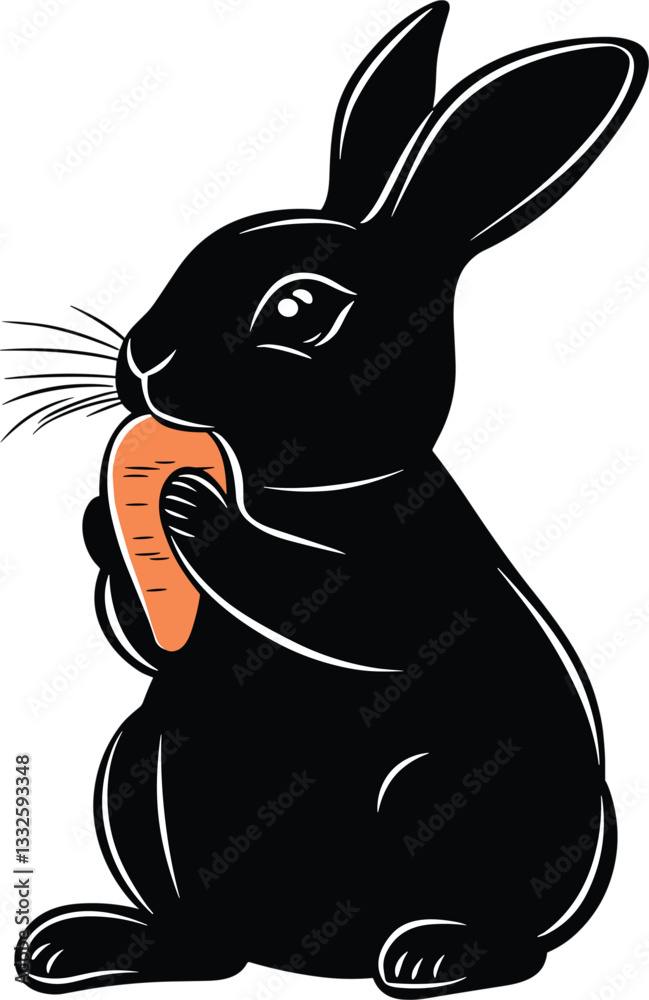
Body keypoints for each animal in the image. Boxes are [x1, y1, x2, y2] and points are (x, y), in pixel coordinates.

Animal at [13, 2, 648, 996]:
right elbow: (151, 633)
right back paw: (81, 945)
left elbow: (337, 605)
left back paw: (432, 952)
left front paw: (189, 507)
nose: (144, 361)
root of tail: (317, 957)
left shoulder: (411, 569)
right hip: (136, 768)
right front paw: (103, 526)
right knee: (209, 949)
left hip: (458, 793)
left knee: (521, 939)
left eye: (297, 310)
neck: (288, 483)